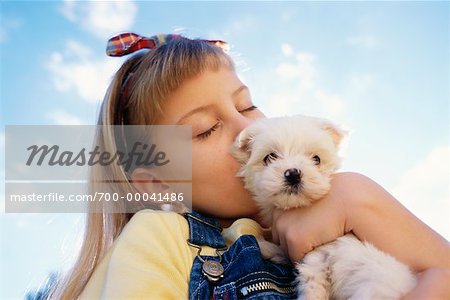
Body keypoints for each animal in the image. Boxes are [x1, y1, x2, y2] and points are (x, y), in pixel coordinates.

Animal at [232, 115, 418, 300]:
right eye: (269, 157)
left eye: (317, 159)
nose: (293, 174)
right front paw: (265, 247)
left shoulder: (316, 257)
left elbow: (311, 285)